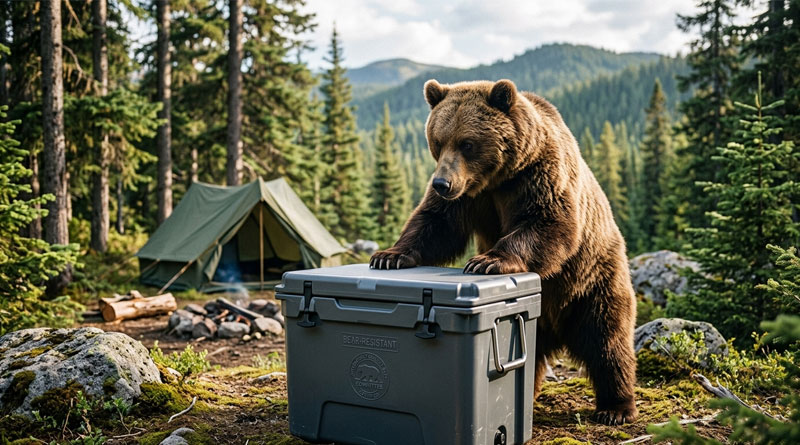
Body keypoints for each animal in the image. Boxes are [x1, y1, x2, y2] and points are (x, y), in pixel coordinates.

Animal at [369, 78, 638, 425]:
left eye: (467, 143)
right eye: (438, 141)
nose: (442, 182)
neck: (496, 179)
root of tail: (557, 327)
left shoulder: (539, 175)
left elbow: (549, 220)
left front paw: (486, 262)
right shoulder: (469, 197)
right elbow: (436, 222)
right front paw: (389, 256)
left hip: (592, 281)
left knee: (607, 340)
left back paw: (616, 408)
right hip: (539, 321)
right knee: (532, 354)